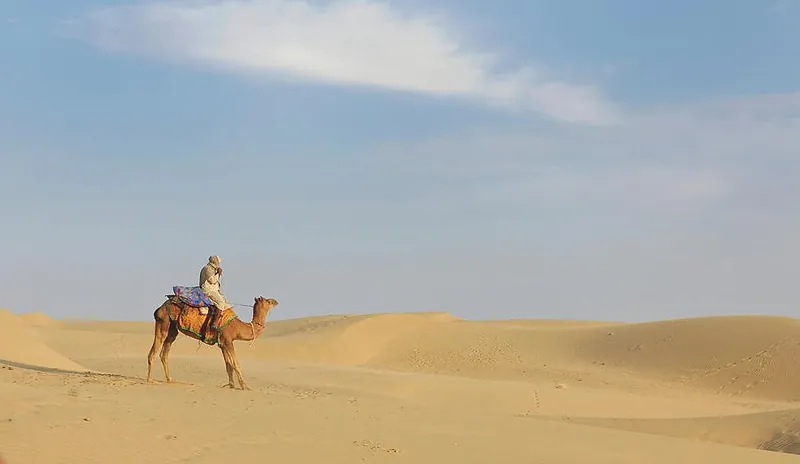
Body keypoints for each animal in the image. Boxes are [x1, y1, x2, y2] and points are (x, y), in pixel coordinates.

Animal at [146, 295, 279, 390]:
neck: (238, 327)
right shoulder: (228, 341)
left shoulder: (222, 344)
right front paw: (245, 386)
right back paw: (150, 380)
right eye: (268, 301)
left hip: (172, 328)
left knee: (164, 353)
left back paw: (170, 379)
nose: (276, 301)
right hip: (163, 322)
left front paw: (231, 385)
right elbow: (236, 364)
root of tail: (159, 308)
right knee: (153, 351)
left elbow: (228, 365)